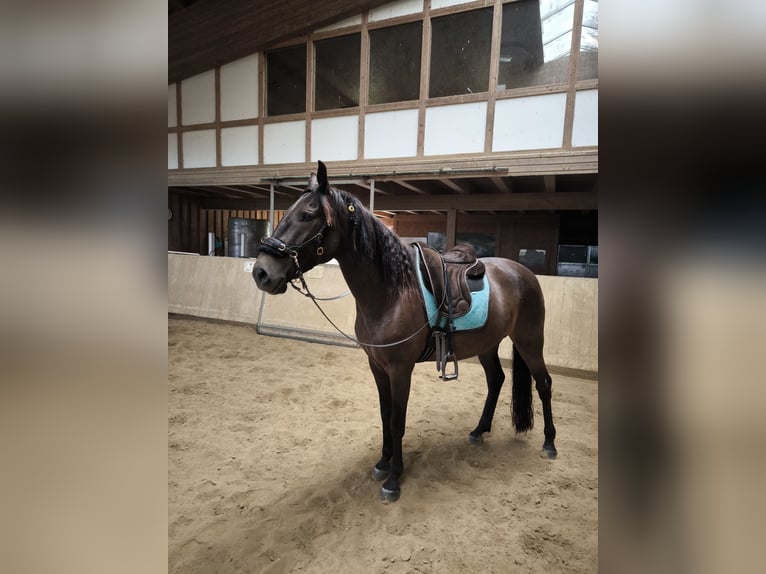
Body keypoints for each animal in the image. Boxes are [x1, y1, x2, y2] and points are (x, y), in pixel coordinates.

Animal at [254, 162, 560, 504]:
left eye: (307, 215)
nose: (261, 272)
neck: (393, 291)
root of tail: (523, 273)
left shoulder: (401, 369)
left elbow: (397, 421)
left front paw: (393, 478)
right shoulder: (377, 367)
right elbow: (385, 416)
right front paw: (382, 462)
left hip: (529, 340)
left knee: (544, 384)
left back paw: (549, 443)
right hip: (487, 344)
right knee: (497, 381)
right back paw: (479, 431)